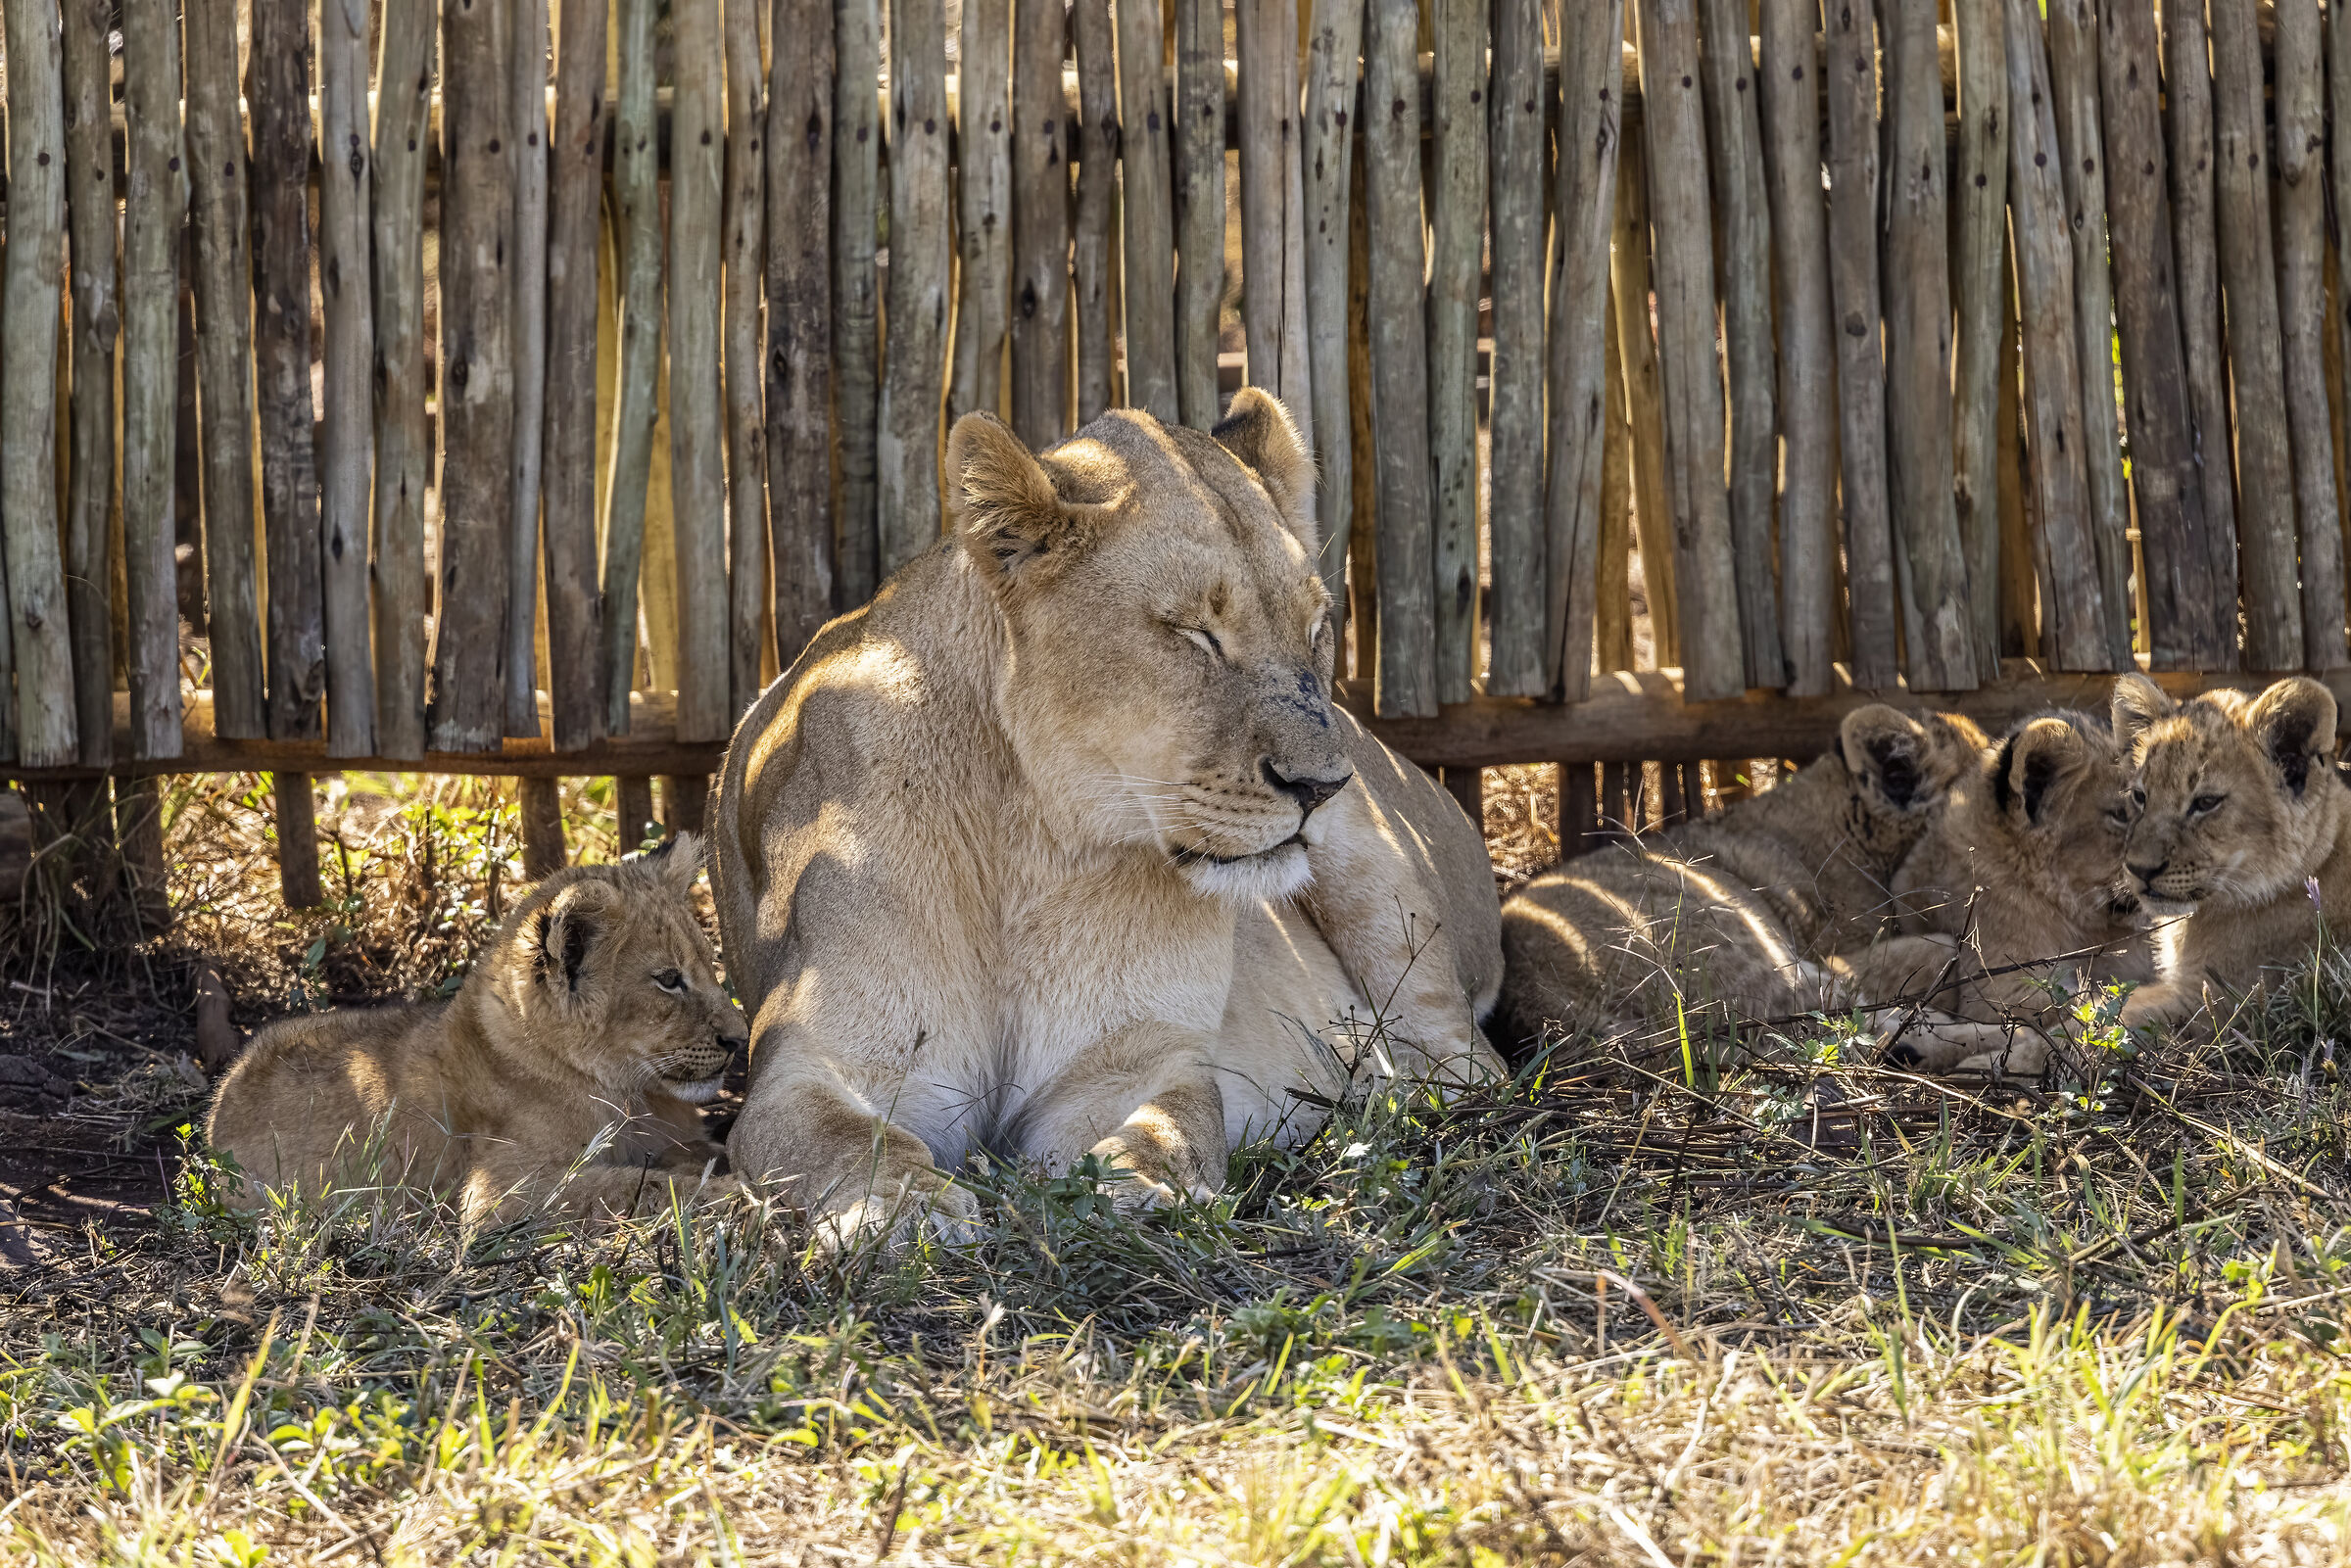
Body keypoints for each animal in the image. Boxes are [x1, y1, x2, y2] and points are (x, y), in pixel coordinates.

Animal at [206, 835, 748, 1224]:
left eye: (709, 966)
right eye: (668, 980)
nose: (739, 1038)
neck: (636, 1096)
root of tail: (222, 1096)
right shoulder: (501, 1192)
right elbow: (635, 1185)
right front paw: (738, 1194)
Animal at [709, 391, 1504, 1241]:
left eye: (1316, 630)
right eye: (1194, 631)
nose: (1323, 784)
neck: (1034, 845)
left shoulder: (1135, 1059)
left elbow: (1167, 1127)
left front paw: (1136, 1191)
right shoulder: (814, 1057)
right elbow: (846, 1136)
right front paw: (907, 1206)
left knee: (1474, 1069)